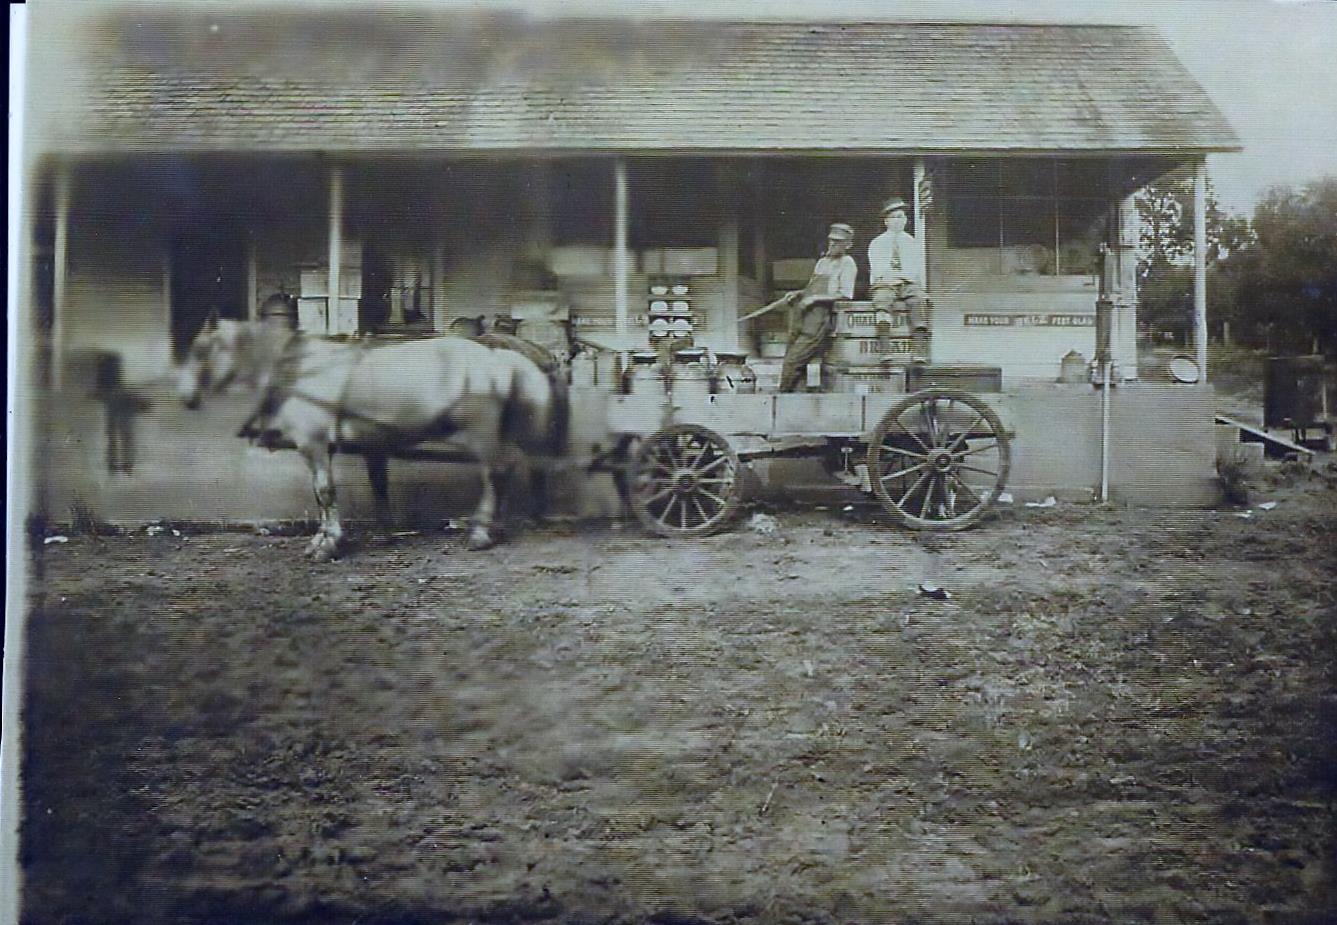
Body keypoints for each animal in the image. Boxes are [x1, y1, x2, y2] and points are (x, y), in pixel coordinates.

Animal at [176, 318, 564, 558]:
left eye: (200, 350)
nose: (186, 398)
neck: (300, 370)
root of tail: (500, 355)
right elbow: (325, 495)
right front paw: (323, 539)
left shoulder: (314, 444)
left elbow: (325, 492)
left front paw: (329, 544)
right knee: (506, 470)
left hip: (480, 433)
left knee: (497, 471)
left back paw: (482, 532)